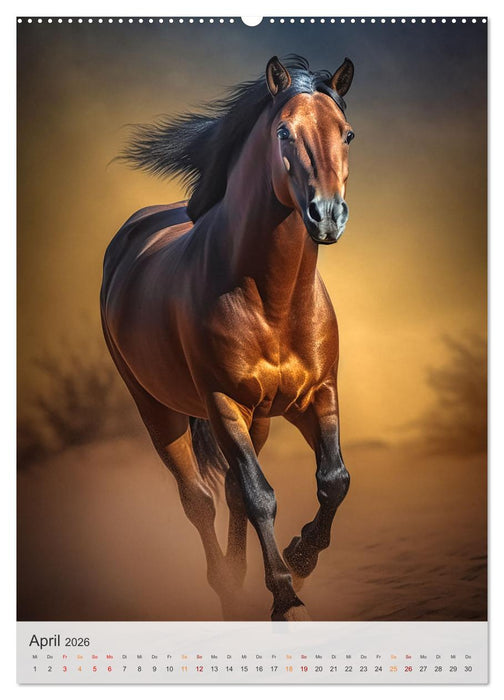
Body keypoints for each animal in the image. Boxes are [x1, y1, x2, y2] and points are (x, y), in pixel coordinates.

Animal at [101, 55, 355, 621]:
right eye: (284, 131)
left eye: (348, 134)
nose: (327, 215)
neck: (274, 301)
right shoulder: (222, 402)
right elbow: (261, 496)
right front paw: (286, 597)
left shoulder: (316, 395)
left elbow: (333, 480)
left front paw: (300, 556)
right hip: (159, 410)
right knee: (199, 497)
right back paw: (227, 588)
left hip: (258, 417)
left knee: (234, 492)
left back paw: (241, 578)